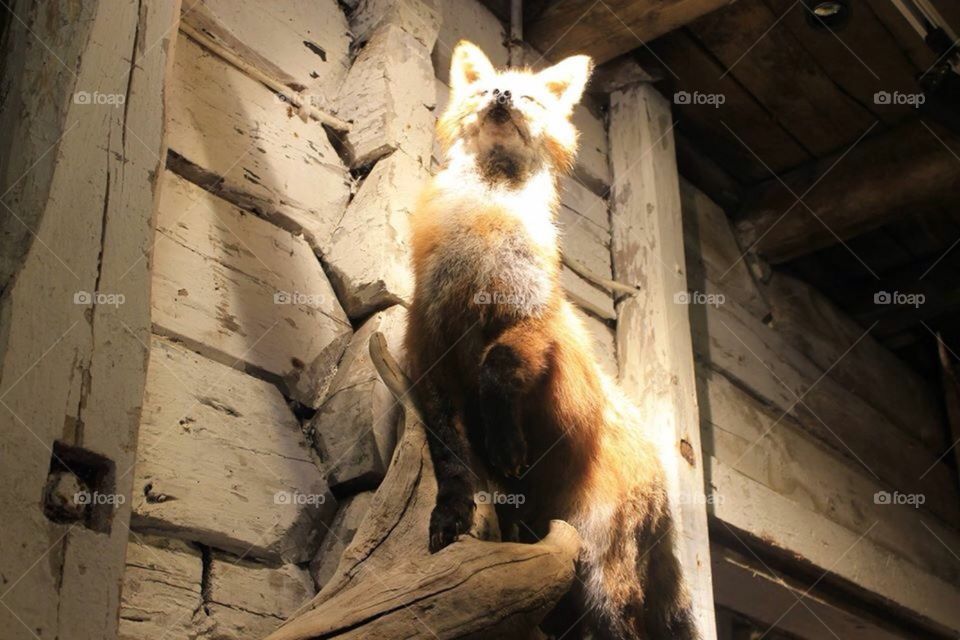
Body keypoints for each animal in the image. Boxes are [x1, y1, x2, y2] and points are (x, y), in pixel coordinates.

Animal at [404, 41, 698, 640]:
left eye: (532, 98)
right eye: (481, 90)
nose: (500, 93)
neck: (486, 229)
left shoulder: (533, 323)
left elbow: (496, 370)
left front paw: (506, 443)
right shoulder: (428, 347)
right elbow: (448, 451)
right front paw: (451, 512)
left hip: (599, 577)